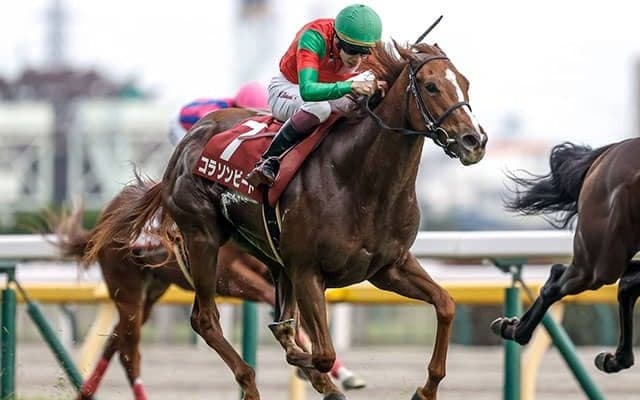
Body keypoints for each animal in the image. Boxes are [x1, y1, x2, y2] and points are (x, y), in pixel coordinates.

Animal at [51, 191, 365, 400]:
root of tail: (104, 217)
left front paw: (328, 372)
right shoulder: (230, 277)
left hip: (149, 294)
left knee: (116, 344)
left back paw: (85, 393)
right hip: (127, 290)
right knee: (130, 354)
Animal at [84, 40, 487, 400]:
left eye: (465, 83)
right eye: (431, 86)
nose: (474, 140)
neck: (361, 182)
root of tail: (187, 143)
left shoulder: (389, 267)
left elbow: (446, 304)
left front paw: (426, 389)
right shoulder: (307, 269)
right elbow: (321, 352)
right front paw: (311, 365)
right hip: (198, 242)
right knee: (202, 320)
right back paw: (250, 382)